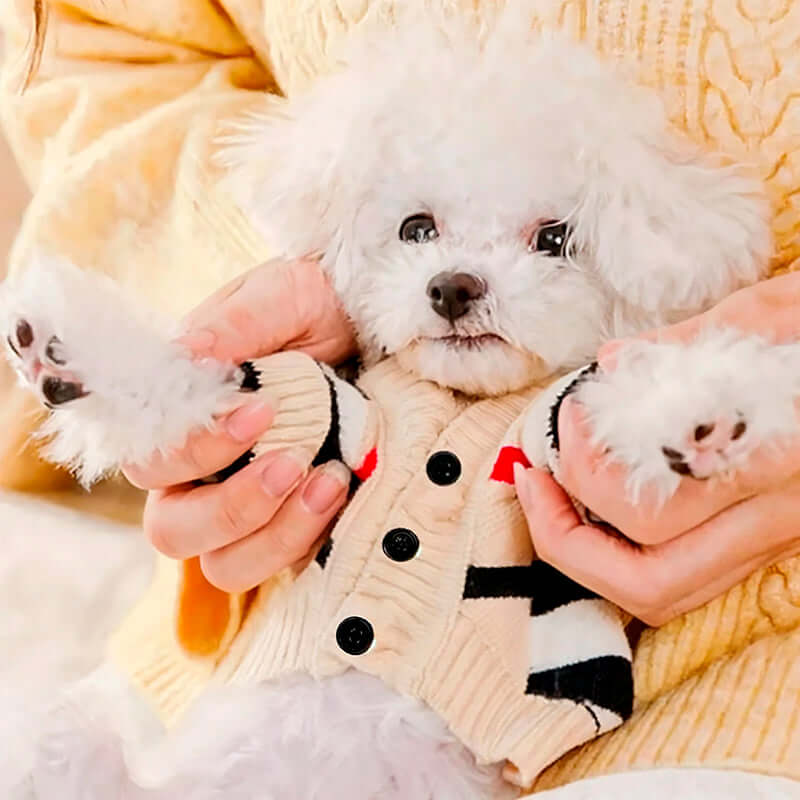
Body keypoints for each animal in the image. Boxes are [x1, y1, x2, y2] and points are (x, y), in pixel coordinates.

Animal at [3, 6, 796, 800]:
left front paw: (704, 413)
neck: (456, 401)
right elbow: (201, 387)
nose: (452, 287)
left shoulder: (548, 441)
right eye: (418, 228)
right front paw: (62, 352)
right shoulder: (319, 420)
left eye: (555, 239)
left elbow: (603, 407)